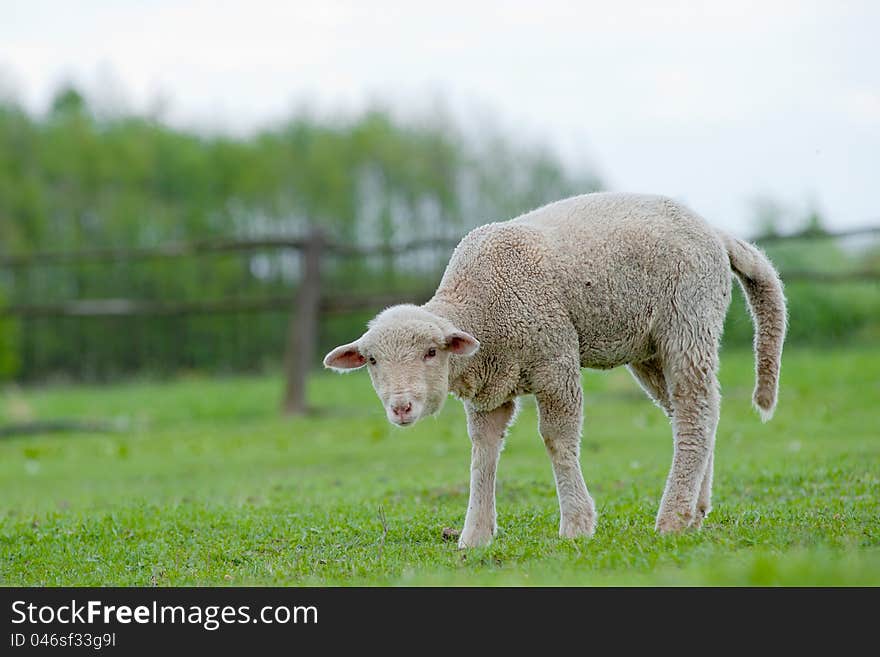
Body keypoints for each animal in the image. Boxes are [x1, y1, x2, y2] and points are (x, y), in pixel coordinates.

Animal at [324, 191, 792, 548]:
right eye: (372, 360)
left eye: (431, 353)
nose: (401, 407)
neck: (481, 308)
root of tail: (715, 232)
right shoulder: (490, 391)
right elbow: (483, 452)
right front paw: (475, 536)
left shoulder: (556, 362)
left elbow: (557, 441)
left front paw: (576, 525)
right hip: (650, 349)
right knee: (695, 412)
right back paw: (695, 509)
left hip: (688, 319)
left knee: (695, 411)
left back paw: (673, 517)